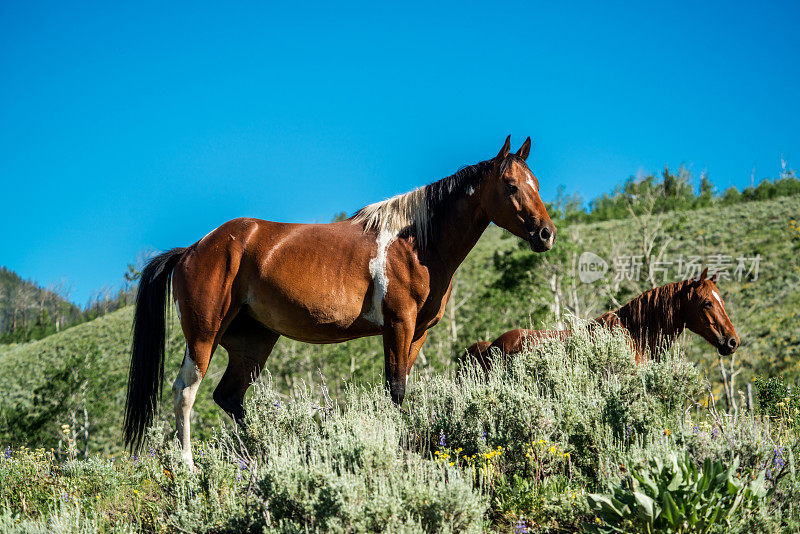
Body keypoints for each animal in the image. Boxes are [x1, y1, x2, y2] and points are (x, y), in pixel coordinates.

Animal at [125, 136, 556, 466]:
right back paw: (188, 467)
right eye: (512, 186)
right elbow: (396, 387)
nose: (546, 234)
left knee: (229, 396)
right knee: (186, 392)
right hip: (204, 336)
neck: (415, 243)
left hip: (253, 343)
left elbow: (400, 385)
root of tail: (192, 249)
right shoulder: (398, 324)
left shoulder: (416, 333)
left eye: (535, 183)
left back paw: (259, 454)